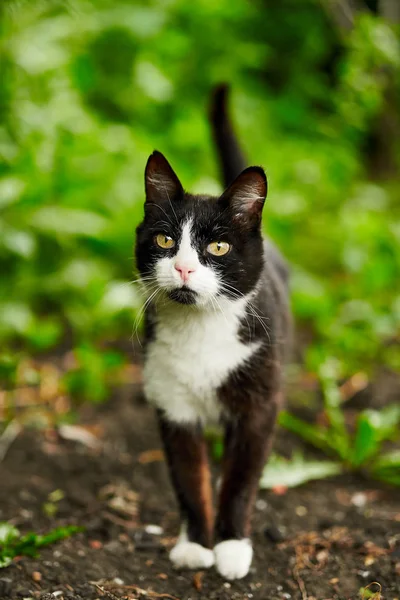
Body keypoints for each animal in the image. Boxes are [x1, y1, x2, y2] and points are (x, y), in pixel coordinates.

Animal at [134, 86, 290, 580]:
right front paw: (195, 545)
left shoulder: (260, 403)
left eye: (218, 246)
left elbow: (240, 478)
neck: (200, 330)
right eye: (165, 240)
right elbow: (188, 477)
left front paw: (232, 546)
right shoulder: (172, 404)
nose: (184, 267)